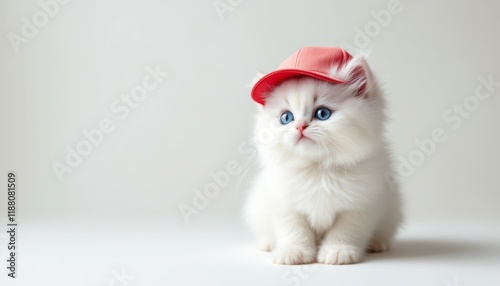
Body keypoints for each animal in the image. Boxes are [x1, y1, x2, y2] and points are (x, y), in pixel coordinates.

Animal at [245, 54, 402, 266]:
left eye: (322, 113)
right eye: (286, 118)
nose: (300, 126)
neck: (318, 170)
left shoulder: (361, 205)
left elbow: (345, 230)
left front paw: (338, 251)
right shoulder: (284, 205)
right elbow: (294, 230)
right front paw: (293, 252)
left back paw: (378, 243)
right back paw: (267, 244)